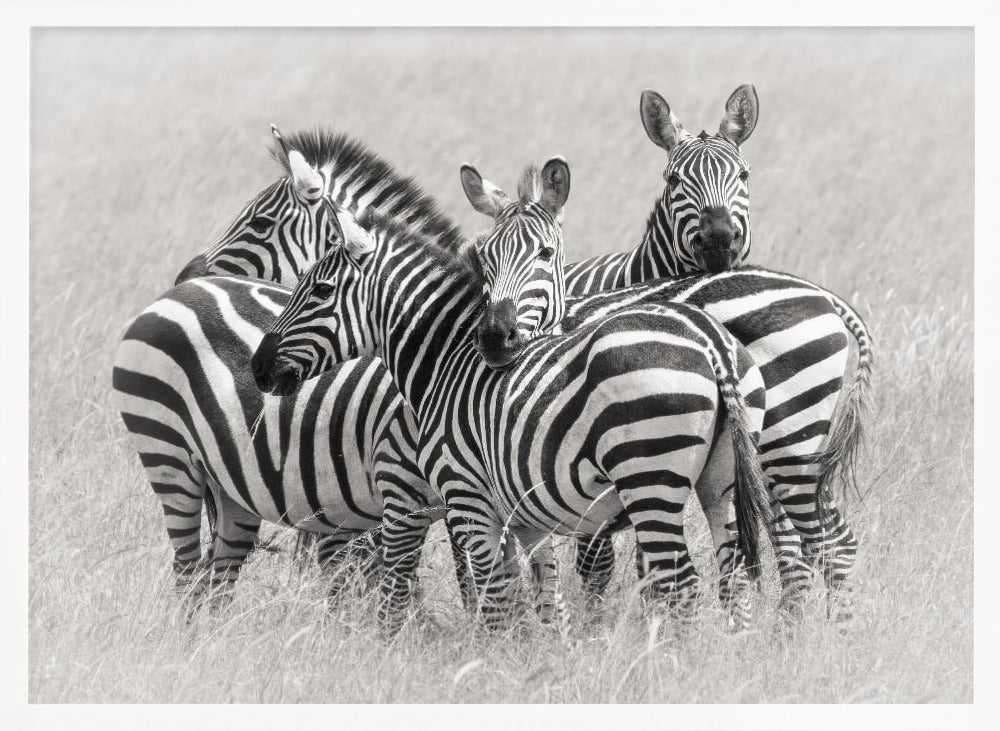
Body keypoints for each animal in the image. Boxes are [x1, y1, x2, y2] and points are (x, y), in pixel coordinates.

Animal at [250, 196, 773, 630]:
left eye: (319, 290)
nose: (257, 368)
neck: (446, 362)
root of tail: (710, 342)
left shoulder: (467, 498)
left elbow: (494, 599)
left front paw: (492, 664)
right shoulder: (525, 515)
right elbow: (542, 598)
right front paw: (544, 664)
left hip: (649, 479)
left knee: (681, 584)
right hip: (720, 484)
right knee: (732, 580)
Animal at [459, 87, 873, 617]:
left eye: (744, 175)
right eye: (674, 180)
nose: (719, 240)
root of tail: (825, 296)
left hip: (786, 443)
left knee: (818, 541)